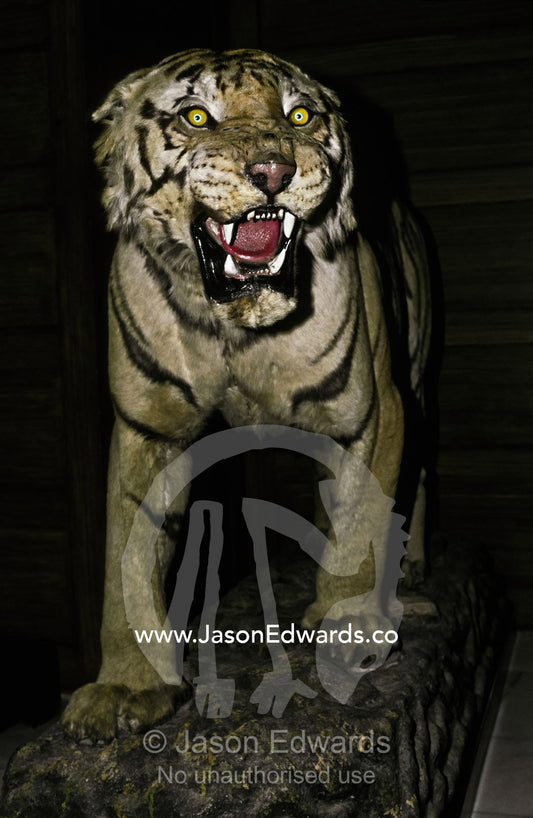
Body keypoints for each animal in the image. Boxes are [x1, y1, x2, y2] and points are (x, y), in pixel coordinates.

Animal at [62, 48, 432, 741]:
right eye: (196, 116)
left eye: (300, 115)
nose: (273, 170)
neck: (236, 327)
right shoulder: (147, 430)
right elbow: (127, 560)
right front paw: (127, 686)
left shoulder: (373, 408)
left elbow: (364, 526)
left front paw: (351, 627)